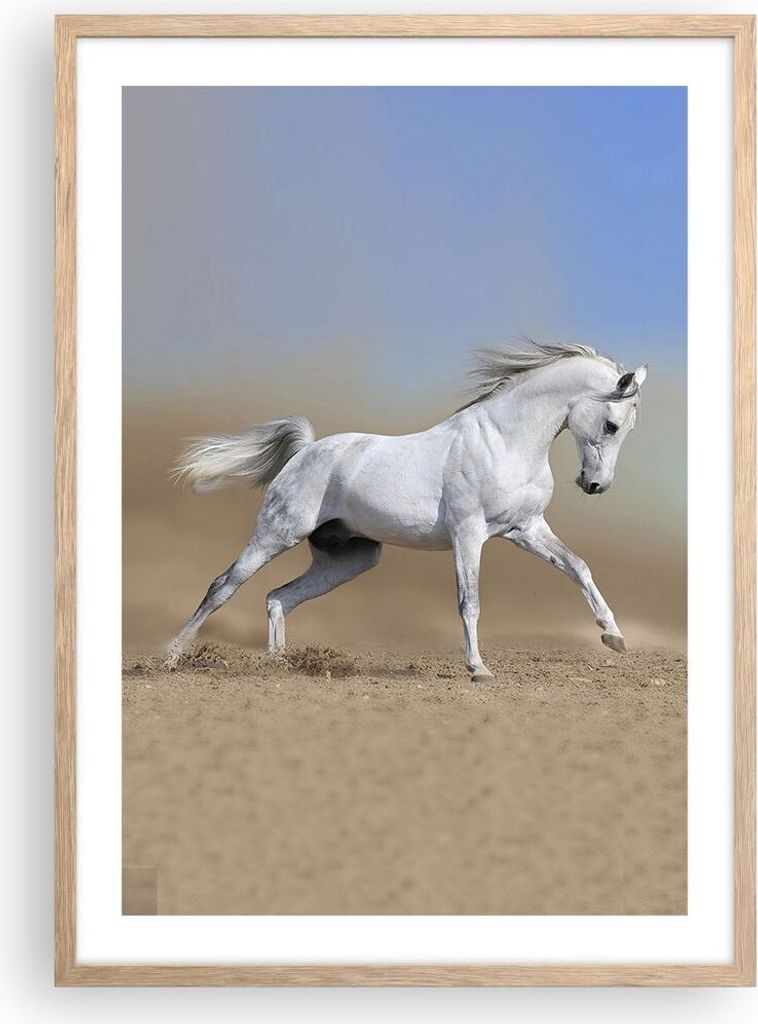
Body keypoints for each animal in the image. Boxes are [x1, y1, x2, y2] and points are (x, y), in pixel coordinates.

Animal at [165, 341, 647, 680]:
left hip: (350, 559)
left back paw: (279, 665)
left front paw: (614, 637)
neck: (505, 440)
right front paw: (478, 669)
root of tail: (305, 451)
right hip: (275, 534)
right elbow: (469, 601)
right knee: (223, 586)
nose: (595, 485)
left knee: (278, 597)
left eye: (627, 429)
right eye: (612, 425)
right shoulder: (468, 534)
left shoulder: (525, 529)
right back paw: (170, 656)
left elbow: (578, 567)